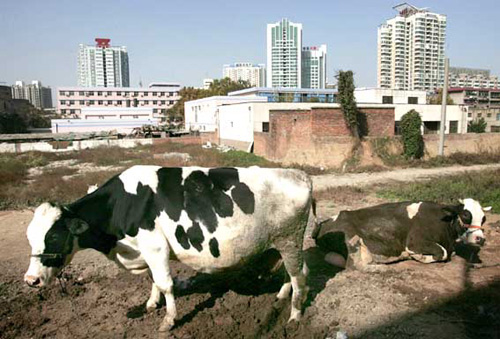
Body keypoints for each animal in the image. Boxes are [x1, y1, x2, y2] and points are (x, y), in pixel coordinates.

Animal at [25, 167, 312, 332]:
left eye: (54, 236)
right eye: (30, 237)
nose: (31, 280)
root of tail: (298, 174)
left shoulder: (154, 246)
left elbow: (165, 283)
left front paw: (168, 320)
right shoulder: (146, 251)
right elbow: (154, 280)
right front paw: (151, 303)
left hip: (289, 238)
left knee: (300, 276)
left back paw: (295, 317)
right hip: (283, 242)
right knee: (296, 271)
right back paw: (282, 296)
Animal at [314, 199, 490, 270]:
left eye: (484, 218)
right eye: (466, 215)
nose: (480, 239)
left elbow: (449, 252)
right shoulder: (414, 242)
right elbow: (443, 252)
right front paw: (419, 257)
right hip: (350, 238)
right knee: (353, 265)